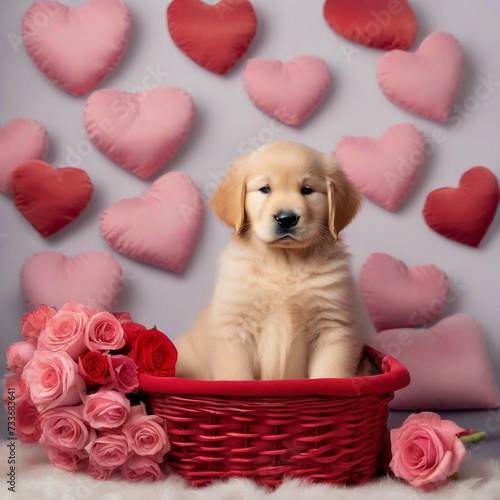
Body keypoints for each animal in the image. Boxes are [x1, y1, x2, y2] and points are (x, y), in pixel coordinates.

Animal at [176, 140, 364, 378]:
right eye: (265, 189)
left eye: (307, 190)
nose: (286, 219)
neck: (284, 262)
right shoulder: (234, 328)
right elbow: (236, 377)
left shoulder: (332, 327)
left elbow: (330, 374)